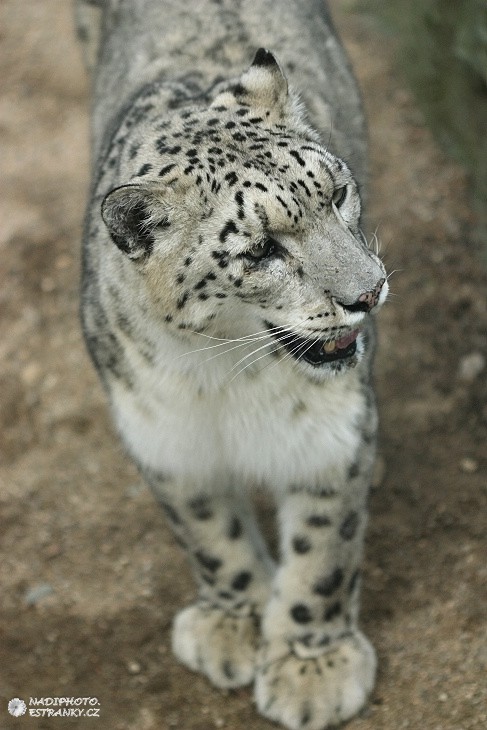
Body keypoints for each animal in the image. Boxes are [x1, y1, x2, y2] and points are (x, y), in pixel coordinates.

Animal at [76, 2, 388, 724]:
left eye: (336, 193)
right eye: (261, 249)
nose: (368, 293)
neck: (224, 375)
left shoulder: (327, 429)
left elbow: (324, 547)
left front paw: (311, 668)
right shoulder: (162, 431)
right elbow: (207, 533)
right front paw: (234, 626)